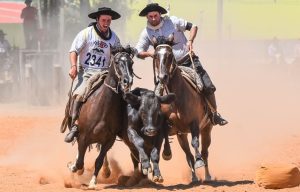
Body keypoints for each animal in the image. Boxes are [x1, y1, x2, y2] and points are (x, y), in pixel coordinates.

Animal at [67, 45, 136, 189]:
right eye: (117, 62)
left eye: (131, 62)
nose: (127, 81)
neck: (102, 106)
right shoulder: (83, 137)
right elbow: (80, 161)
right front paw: (73, 167)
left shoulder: (109, 140)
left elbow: (98, 160)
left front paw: (93, 182)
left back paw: (106, 171)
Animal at [152, 36, 213, 182]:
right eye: (156, 56)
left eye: (169, 55)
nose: (163, 77)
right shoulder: (170, 126)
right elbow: (164, 133)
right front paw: (167, 153)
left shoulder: (195, 122)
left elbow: (195, 142)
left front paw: (199, 161)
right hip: (182, 136)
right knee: (188, 155)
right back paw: (194, 178)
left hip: (207, 129)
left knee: (205, 152)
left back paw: (207, 175)